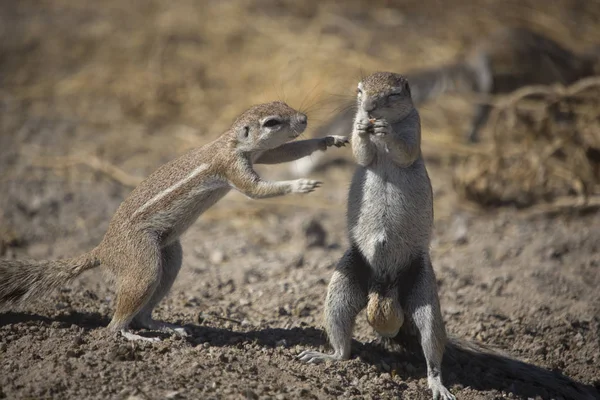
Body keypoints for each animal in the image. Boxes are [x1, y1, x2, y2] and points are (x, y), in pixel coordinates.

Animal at [0, 100, 350, 340]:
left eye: (285, 104)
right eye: (272, 122)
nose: (304, 119)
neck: (231, 141)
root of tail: (103, 250)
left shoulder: (259, 155)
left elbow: (286, 153)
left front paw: (329, 139)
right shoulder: (233, 167)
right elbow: (256, 191)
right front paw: (300, 185)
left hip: (170, 258)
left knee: (147, 307)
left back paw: (164, 327)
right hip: (143, 263)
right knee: (113, 324)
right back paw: (131, 335)